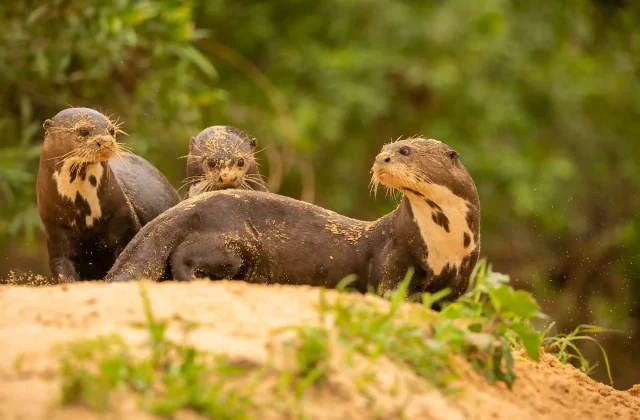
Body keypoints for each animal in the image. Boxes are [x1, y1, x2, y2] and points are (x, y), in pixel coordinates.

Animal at [36, 107, 181, 283]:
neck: (84, 216)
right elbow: (62, 270)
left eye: (111, 130)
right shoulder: (55, 233)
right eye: (83, 131)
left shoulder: (124, 222)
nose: (106, 141)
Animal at [105, 138, 480, 299]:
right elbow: (390, 291)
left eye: (404, 150)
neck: (445, 244)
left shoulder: (462, 278)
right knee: (183, 258)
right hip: (230, 240)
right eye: (384, 149)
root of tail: (174, 214)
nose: (381, 159)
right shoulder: (394, 256)